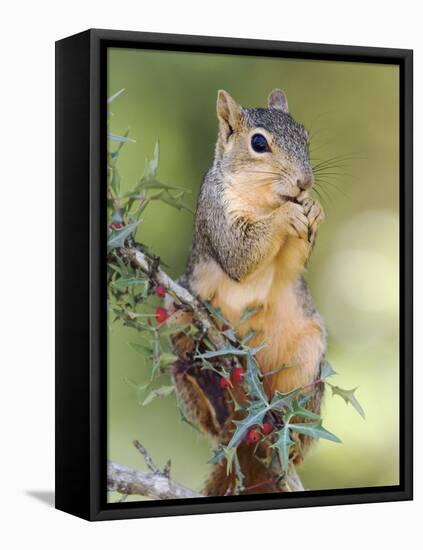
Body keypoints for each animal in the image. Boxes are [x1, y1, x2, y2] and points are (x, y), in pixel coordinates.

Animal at [166, 88, 328, 498]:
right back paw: (212, 396)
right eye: (258, 143)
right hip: (178, 319)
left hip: (307, 358)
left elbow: (291, 264)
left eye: (306, 136)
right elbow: (241, 254)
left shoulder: (290, 265)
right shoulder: (217, 214)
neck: (266, 199)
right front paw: (285, 218)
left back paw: (285, 430)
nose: (305, 182)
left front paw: (314, 209)